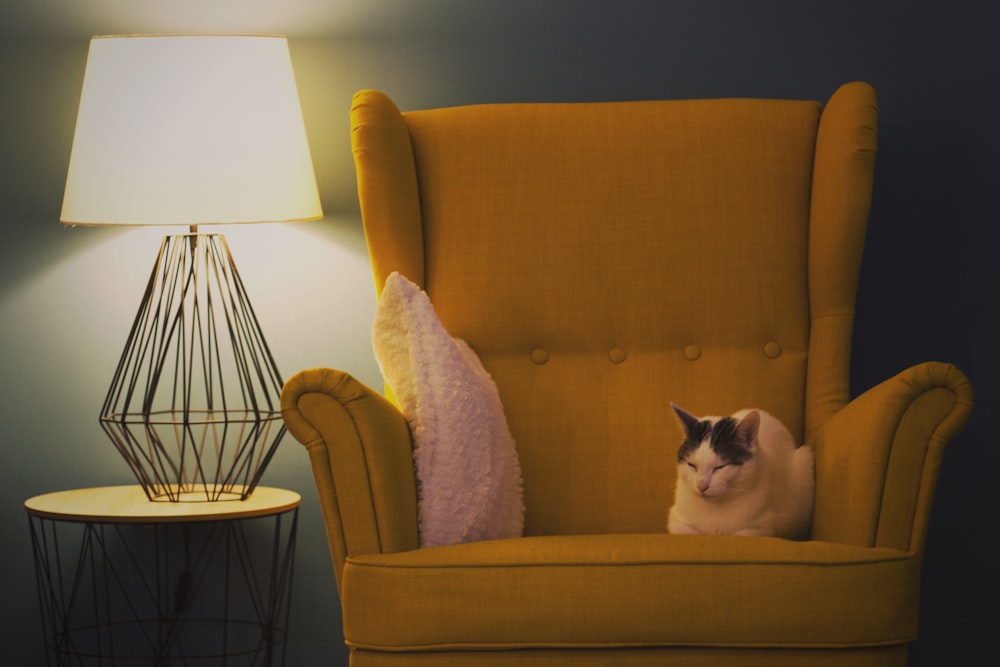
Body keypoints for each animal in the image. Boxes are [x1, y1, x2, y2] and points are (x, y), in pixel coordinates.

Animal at [664, 404, 812, 540]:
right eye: (692, 465)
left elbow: (741, 534)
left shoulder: (767, 527)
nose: (702, 485)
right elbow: (687, 530)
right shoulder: (675, 520)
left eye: (720, 467)